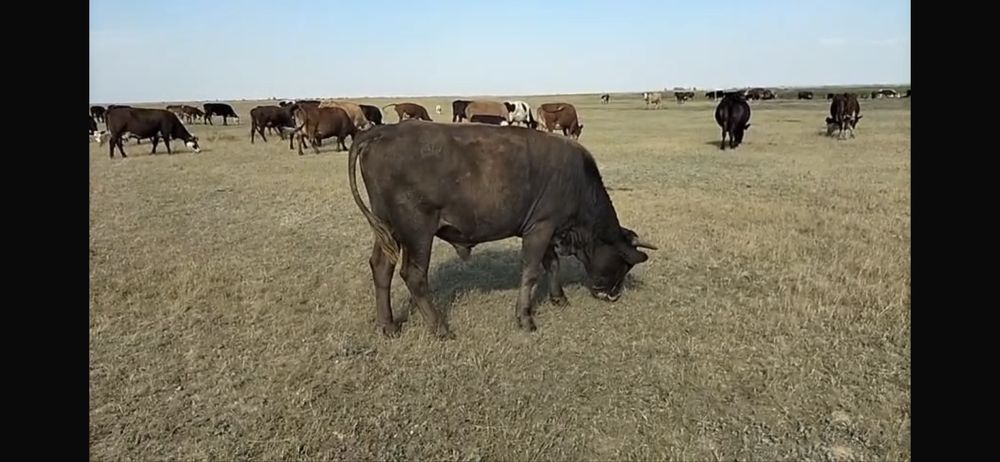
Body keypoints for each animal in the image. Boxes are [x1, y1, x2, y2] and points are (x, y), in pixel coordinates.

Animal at [347, 121, 656, 338]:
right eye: (623, 264)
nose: (613, 295)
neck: (577, 180)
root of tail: (382, 131)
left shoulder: (547, 230)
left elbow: (552, 264)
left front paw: (559, 298)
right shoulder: (540, 228)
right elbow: (531, 272)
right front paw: (525, 318)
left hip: (387, 228)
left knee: (382, 267)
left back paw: (388, 325)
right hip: (417, 231)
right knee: (414, 275)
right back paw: (440, 328)